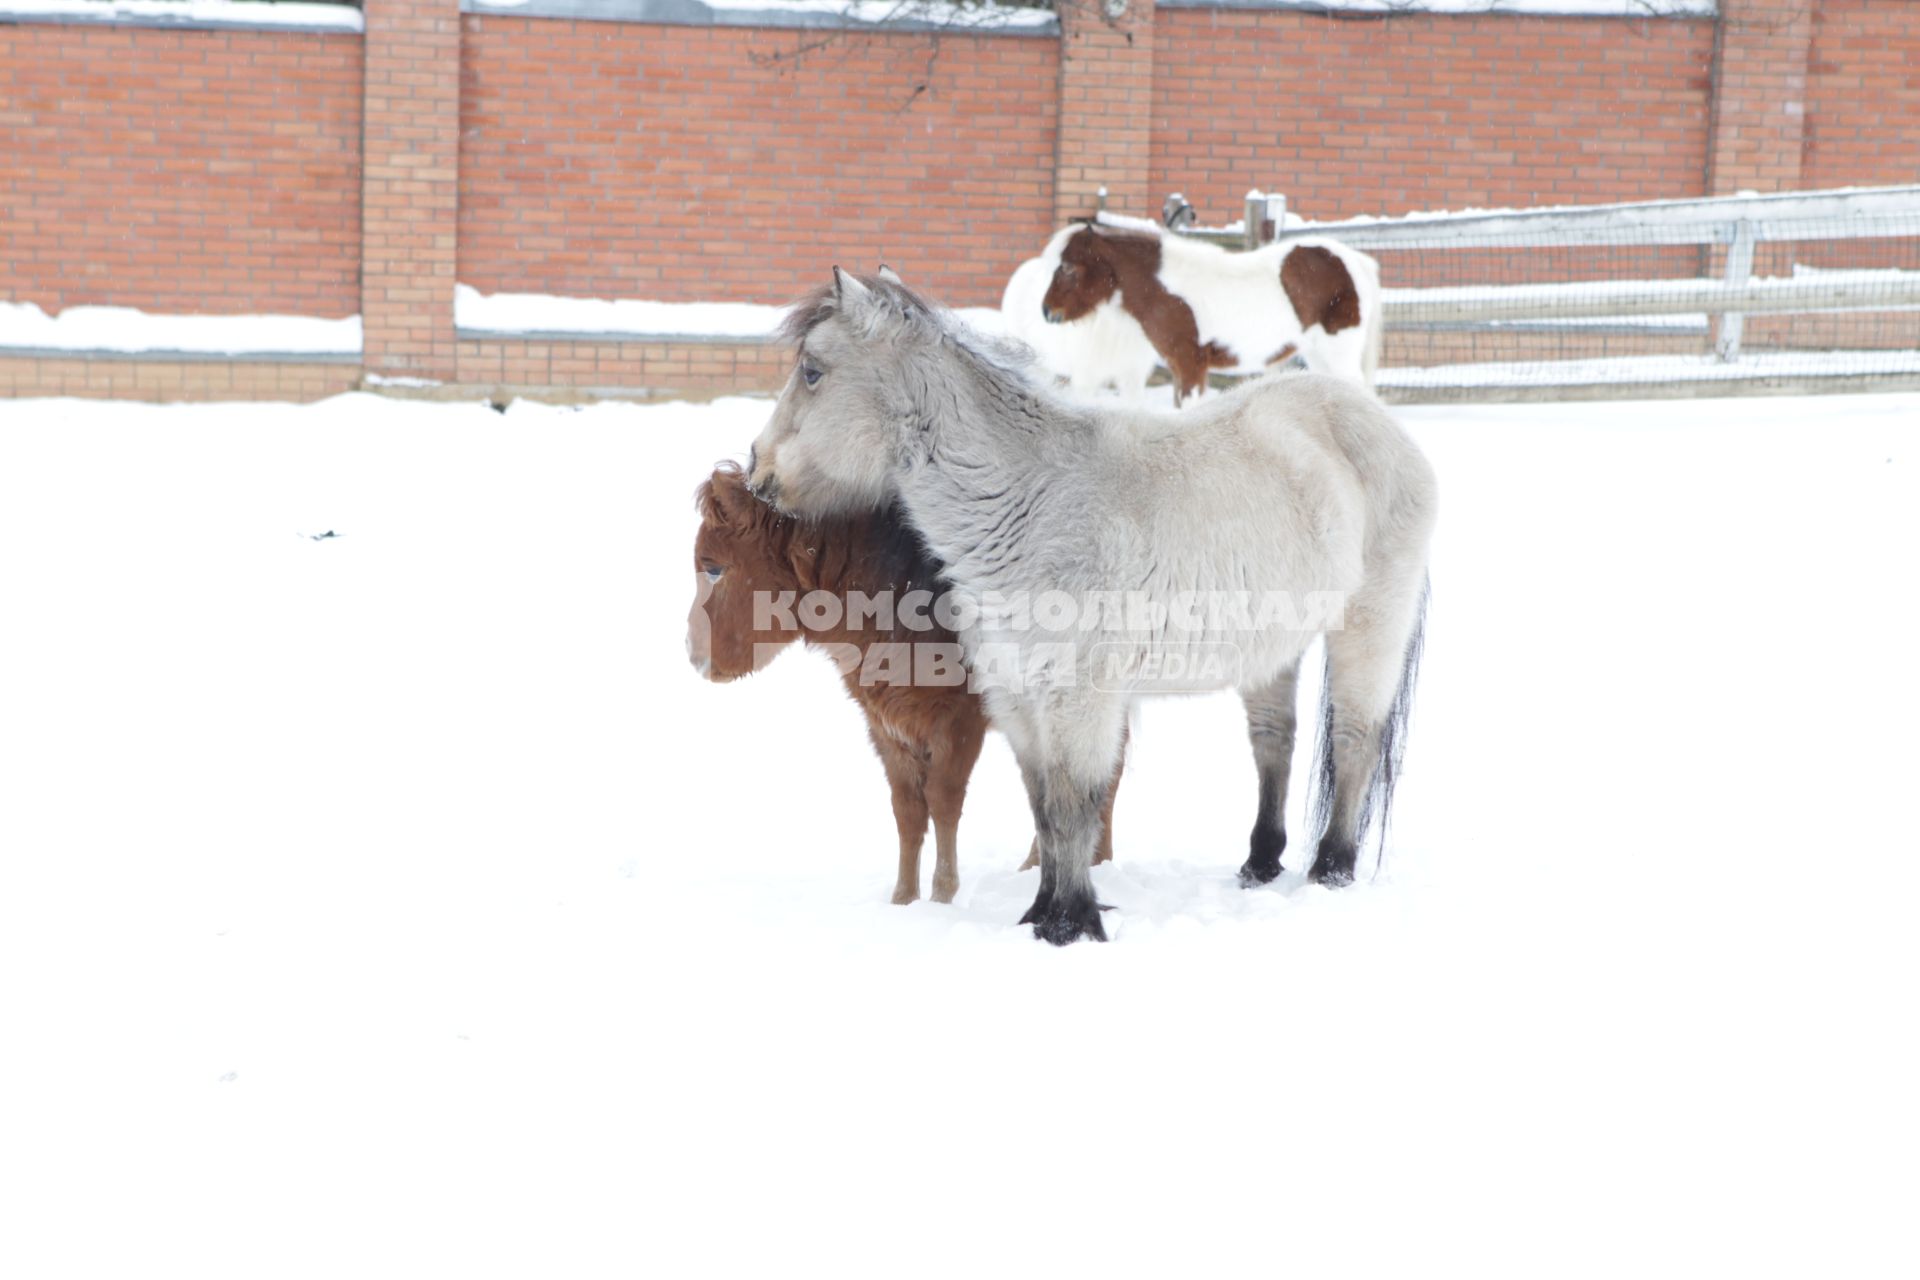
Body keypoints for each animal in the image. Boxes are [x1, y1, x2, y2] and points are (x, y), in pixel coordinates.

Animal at [687, 466, 1121, 905]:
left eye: (713, 568)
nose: (692, 652)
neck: (900, 592)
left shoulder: (960, 722)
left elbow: (943, 802)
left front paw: (943, 895)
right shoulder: (886, 725)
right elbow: (907, 810)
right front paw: (904, 899)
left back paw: (1092, 863)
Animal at [1044, 220, 1374, 401]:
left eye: (1068, 267)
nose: (1047, 311)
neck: (1166, 286)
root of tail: (1354, 260)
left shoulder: (1191, 366)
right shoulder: (1180, 370)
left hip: (1338, 352)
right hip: (1317, 355)